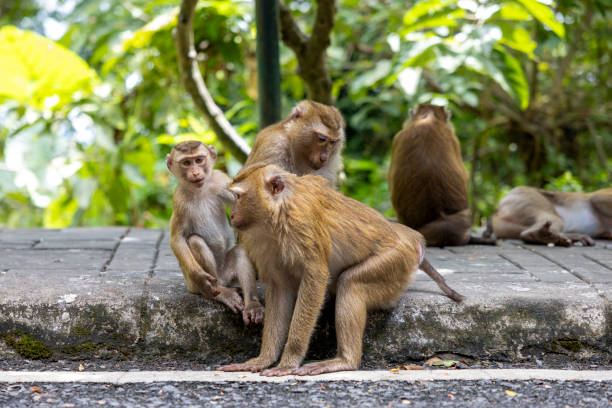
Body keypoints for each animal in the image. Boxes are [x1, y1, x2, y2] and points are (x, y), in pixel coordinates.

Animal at [167, 140, 262, 326]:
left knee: (240, 252)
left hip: (228, 274)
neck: (199, 189)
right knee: (195, 241)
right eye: (186, 163)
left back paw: (252, 305)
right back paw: (221, 293)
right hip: (197, 283)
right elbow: (177, 239)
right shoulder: (178, 199)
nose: (195, 172)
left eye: (199, 160)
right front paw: (200, 276)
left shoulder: (220, 180)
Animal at [220, 163, 464, 376]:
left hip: (397, 261)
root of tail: (411, 239)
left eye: (238, 197)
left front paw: (289, 361)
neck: (276, 213)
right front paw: (264, 359)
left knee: (351, 282)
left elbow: (315, 277)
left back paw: (345, 361)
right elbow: (280, 288)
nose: (231, 215)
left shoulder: (301, 227)